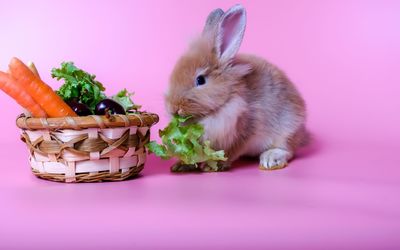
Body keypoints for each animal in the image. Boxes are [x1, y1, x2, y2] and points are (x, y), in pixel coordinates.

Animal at [164, 4, 308, 172]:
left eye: (200, 80)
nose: (173, 108)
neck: (226, 101)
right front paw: (181, 164)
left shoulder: (245, 131)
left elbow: (231, 151)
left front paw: (213, 165)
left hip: (287, 129)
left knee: (287, 150)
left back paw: (270, 159)